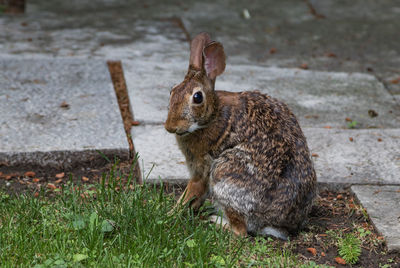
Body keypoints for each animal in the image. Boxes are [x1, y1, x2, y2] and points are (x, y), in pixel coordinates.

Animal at [164, 32, 318, 240]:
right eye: (172, 90)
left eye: (197, 97)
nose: (170, 126)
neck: (213, 114)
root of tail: (275, 223)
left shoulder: (202, 167)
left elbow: (193, 190)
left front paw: (170, 214)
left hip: (224, 173)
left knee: (241, 231)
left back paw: (216, 221)